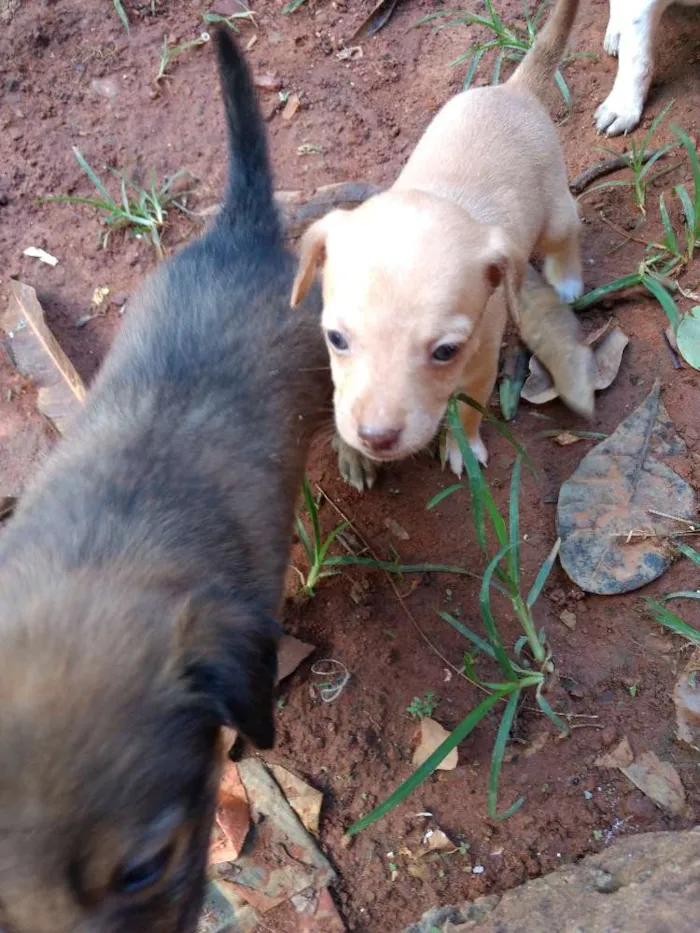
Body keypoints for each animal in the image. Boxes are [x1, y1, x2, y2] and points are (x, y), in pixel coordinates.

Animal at [290, 0, 580, 480]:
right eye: (335, 339)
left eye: (446, 351)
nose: (376, 438)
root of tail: (516, 89)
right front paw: (352, 452)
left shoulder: (481, 368)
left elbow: (467, 411)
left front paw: (463, 449)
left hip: (555, 214)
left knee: (570, 231)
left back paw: (569, 279)